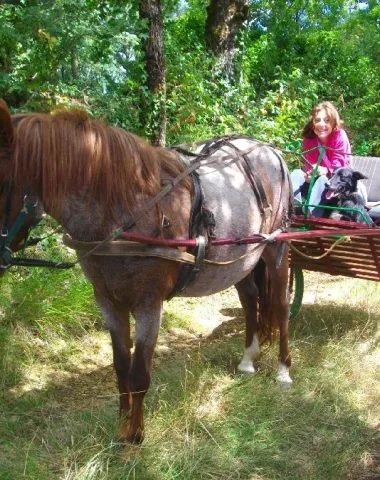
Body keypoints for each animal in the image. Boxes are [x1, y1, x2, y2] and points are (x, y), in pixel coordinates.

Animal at [0, 99, 294, 444]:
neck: (125, 215)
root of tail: (270, 150)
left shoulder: (148, 304)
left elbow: (139, 373)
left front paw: (135, 436)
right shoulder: (108, 301)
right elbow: (120, 366)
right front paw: (122, 424)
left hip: (276, 250)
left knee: (281, 305)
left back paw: (284, 369)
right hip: (243, 259)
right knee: (250, 300)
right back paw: (248, 358)